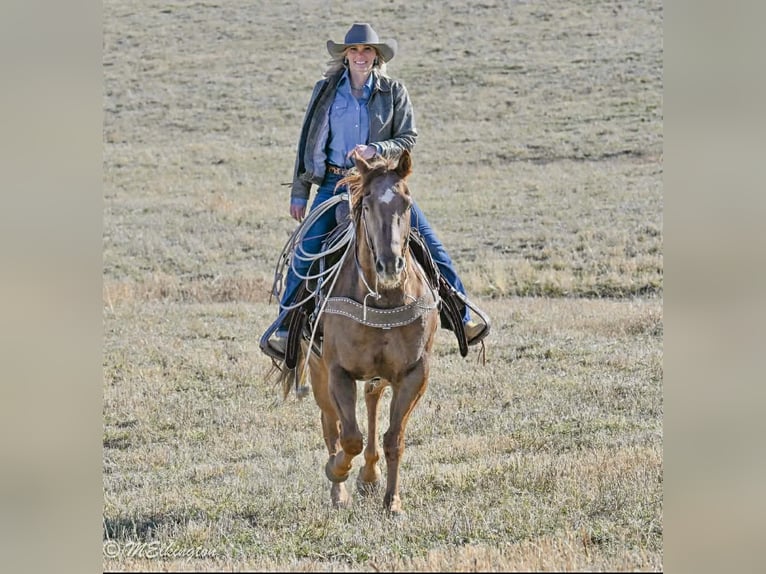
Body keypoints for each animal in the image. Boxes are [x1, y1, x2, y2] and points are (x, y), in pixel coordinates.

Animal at [282, 149, 440, 515]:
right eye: (366, 205)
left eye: (407, 203)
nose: (390, 265)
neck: (383, 297)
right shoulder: (338, 372)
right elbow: (348, 437)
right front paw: (336, 470)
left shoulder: (415, 373)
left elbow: (394, 438)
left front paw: (392, 502)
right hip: (318, 372)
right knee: (332, 426)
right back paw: (339, 491)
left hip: (377, 377)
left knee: (370, 407)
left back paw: (369, 476)